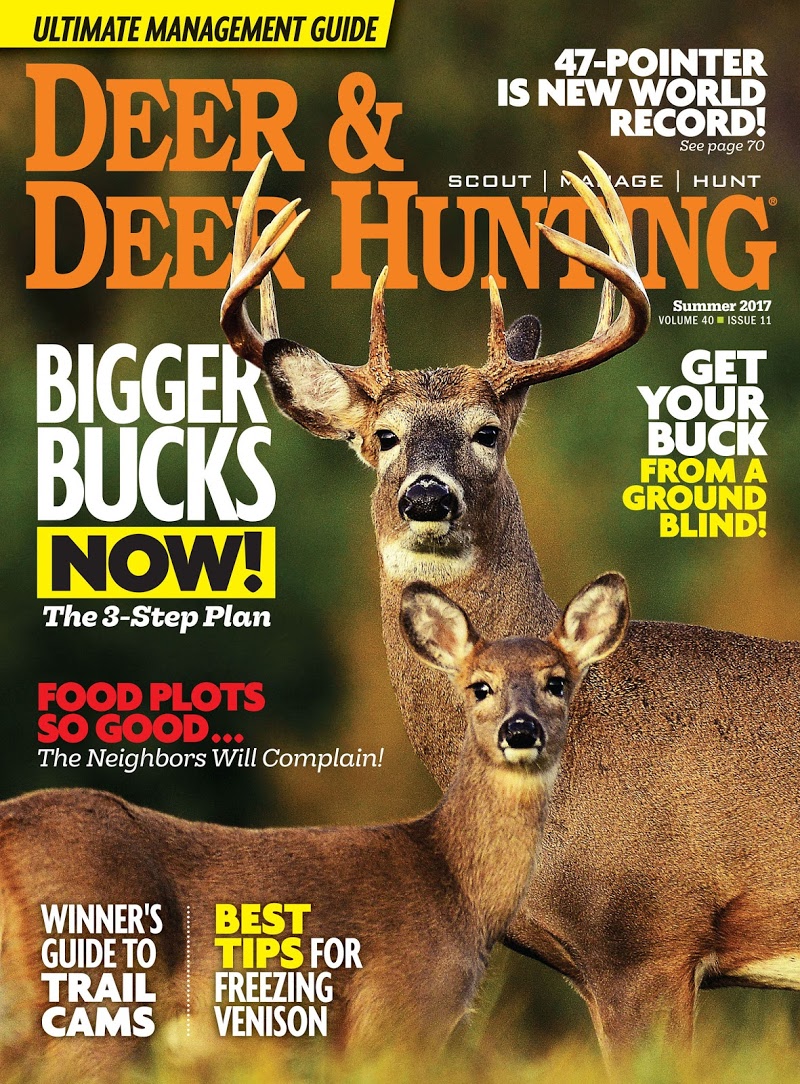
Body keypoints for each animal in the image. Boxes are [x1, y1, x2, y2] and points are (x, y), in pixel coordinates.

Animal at [0, 575, 628, 1082]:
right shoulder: (396, 1015)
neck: (456, 890)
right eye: (480, 685)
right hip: (97, 999)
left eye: (557, 682)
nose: (520, 731)